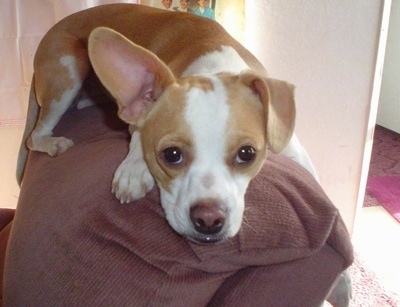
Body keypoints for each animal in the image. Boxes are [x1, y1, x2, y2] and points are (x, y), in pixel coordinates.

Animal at [17, 3, 318, 245]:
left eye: (247, 154)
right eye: (171, 155)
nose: (209, 219)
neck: (214, 68)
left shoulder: (293, 150)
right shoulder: (136, 123)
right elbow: (137, 140)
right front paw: (134, 169)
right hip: (70, 65)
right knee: (35, 136)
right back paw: (54, 142)